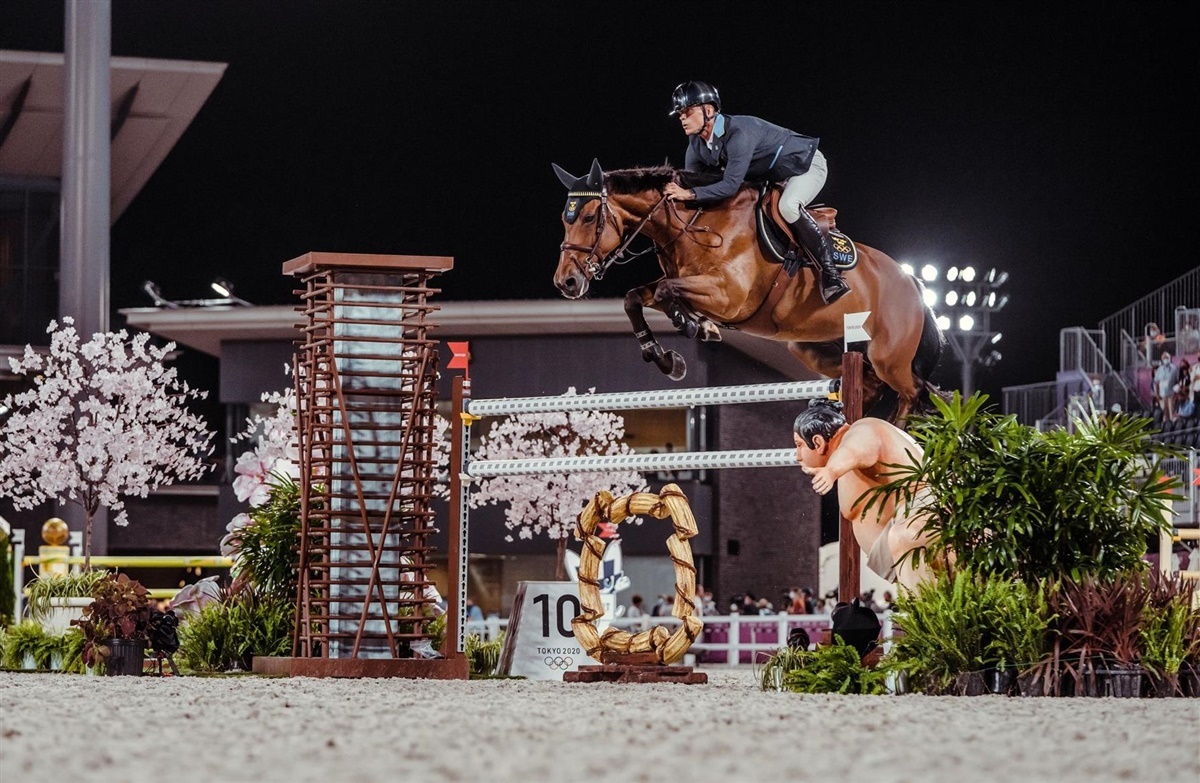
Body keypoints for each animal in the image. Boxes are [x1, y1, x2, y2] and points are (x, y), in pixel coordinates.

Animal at [552, 159, 943, 422]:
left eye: (588, 217)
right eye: (564, 219)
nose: (565, 282)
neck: (694, 223)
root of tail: (913, 283)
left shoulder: (728, 296)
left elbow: (665, 291)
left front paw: (692, 326)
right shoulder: (692, 285)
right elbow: (636, 297)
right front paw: (668, 357)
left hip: (889, 357)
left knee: (912, 391)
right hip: (818, 349)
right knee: (874, 386)